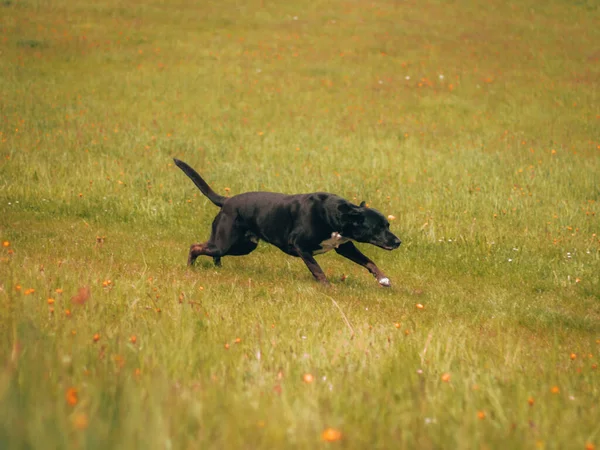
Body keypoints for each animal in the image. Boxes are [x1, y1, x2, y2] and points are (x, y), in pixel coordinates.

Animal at [171, 159, 400, 284]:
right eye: (378, 227)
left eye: (387, 225)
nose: (398, 242)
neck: (335, 214)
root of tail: (226, 201)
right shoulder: (300, 245)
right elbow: (317, 270)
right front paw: (329, 288)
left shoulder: (344, 246)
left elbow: (369, 262)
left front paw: (383, 279)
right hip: (225, 241)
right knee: (196, 247)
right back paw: (190, 266)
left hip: (243, 245)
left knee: (213, 252)